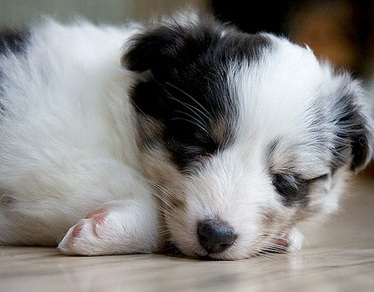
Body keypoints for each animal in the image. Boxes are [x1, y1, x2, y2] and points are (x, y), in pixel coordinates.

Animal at [0, 12, 374, 260]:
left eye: (286, 180)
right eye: (196, 142)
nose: (215, 236)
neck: (121, 113)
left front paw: (285, 236)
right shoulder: (46, 146)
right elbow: (137, 192)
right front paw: (103, 229)